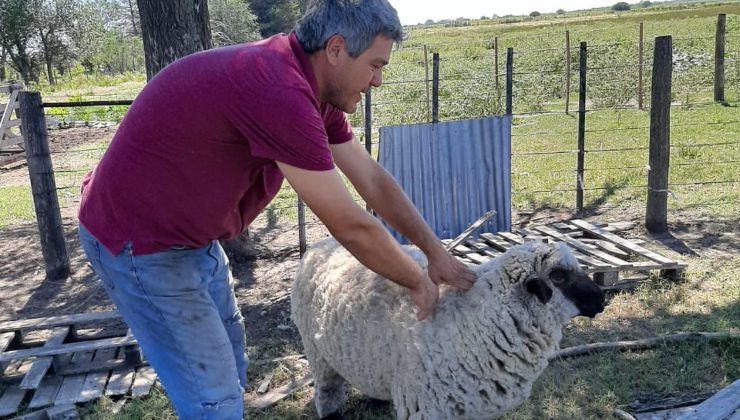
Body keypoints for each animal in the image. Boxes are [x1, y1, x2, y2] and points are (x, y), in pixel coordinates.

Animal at [290, 238, 608, 418]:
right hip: (318, 355)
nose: (601, 298)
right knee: (327, 395)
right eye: (558, 276)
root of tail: (320, 245)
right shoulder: (427, 409)